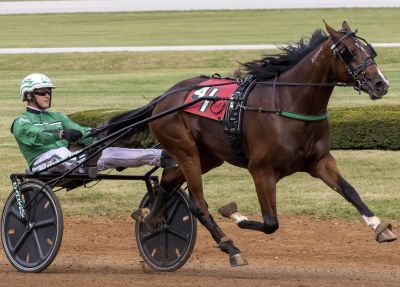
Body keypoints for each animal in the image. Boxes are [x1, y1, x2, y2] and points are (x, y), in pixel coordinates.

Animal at [107, 20, 396, 268]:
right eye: (348, 52)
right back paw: (230, 247)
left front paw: (380, 227)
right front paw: (234, 214)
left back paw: (151, 219)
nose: (380, 84)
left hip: (209, 156)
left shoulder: (320, 161)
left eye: (370, 50)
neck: (288, 102)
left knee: (167, 182)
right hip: (185, 150)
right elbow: (270, 223)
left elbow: (350, 191)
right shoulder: (261, 170)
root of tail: (163, 98)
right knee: (197, 204)